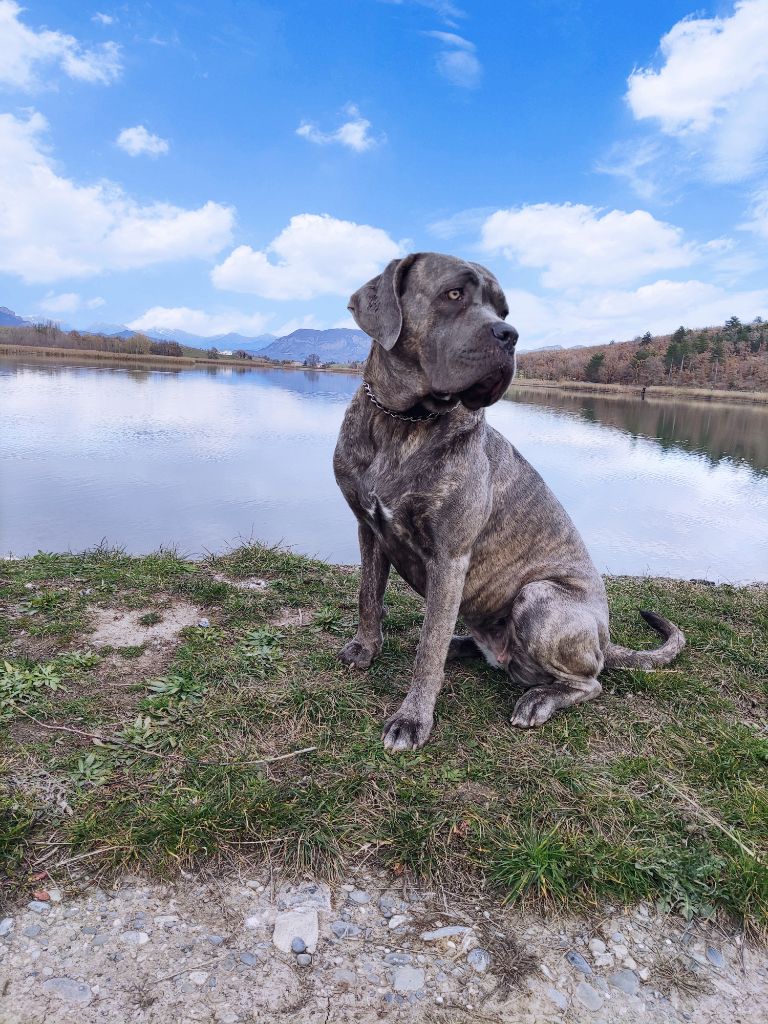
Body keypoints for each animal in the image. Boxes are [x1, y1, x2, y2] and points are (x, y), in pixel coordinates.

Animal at [331, 253, 684, 753]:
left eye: (503, 311)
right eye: (453, 294)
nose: (509, 335)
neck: (401, 422)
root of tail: (605, 638)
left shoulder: (450, 557)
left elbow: (427, 651)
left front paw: (412, 719)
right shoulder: (368, 528)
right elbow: (368, 595)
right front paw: (366, 647)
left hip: (539, 599)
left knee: (590, 681)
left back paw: (538, 699)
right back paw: (463, 644)